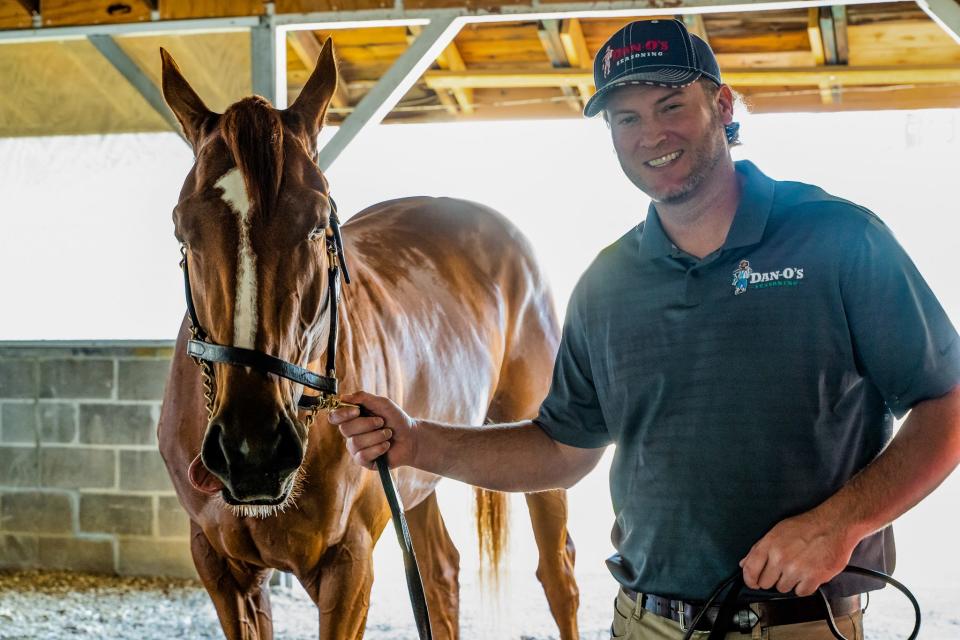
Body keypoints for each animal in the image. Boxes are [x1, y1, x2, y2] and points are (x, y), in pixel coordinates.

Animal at [156, 41, 576, 640]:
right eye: (182, 229)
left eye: (317, 223)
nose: (252, 451)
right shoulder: (221, 570)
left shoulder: (348, 567)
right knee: (441, 573)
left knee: (558, 575)